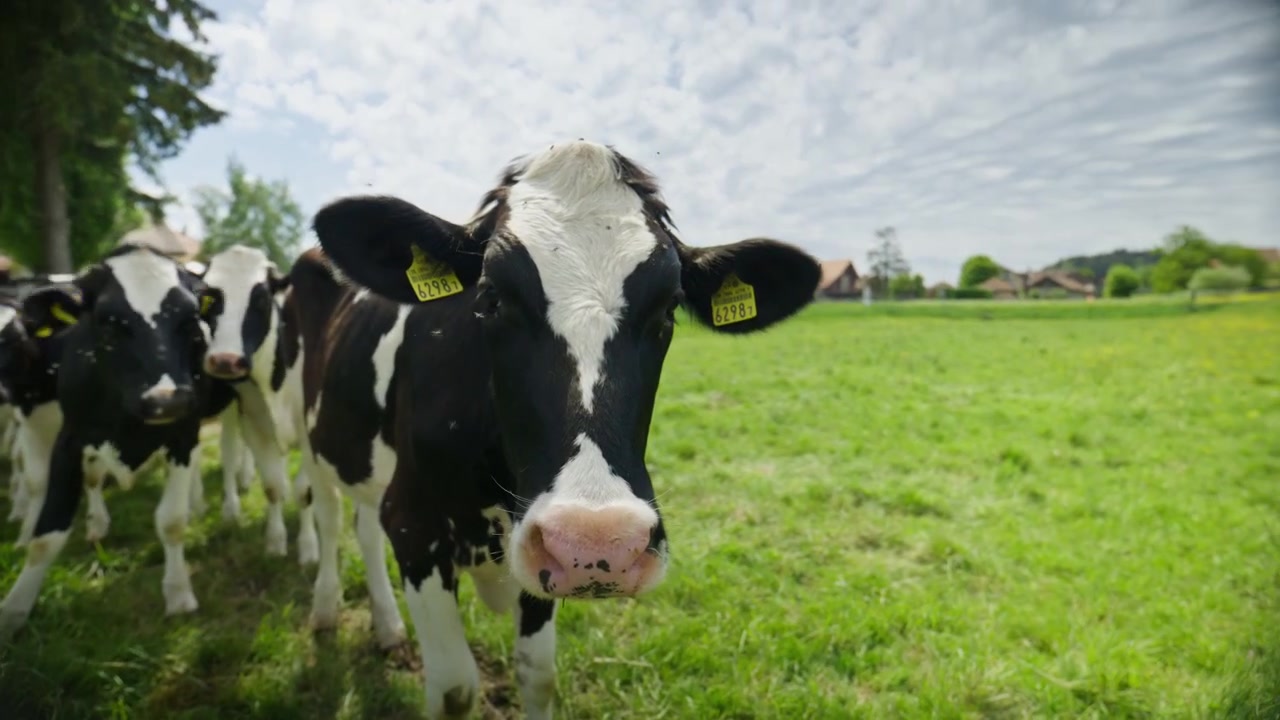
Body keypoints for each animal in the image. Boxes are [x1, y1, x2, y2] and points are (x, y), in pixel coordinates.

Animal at [0, 245, 239, 637]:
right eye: (108, 321)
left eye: (190, 320)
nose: (167, 400)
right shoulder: (67, 435)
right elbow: (46, 533)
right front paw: (15, 610)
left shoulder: (183, 433)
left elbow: (171, 521)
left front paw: (178, 594)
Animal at [196, 244, 317, 565]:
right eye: (208, 298)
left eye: (261, 299)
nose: (225, 361)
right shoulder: (254, 423)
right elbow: (272, 487)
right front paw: (275, 542)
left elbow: (305, 492)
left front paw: (309, 548)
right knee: (229, 453)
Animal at [299, 140, 822, 718]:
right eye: (490, 298)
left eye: (668, 309)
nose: (596, 542)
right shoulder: (416, 525)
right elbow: (456, 688)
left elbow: (538, 674)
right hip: (306, 432)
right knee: (327, 516)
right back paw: (324, 611)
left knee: (364, 525)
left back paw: (389, 628)